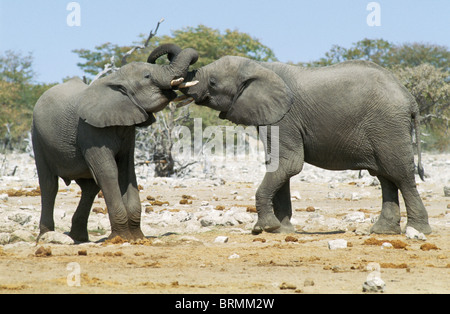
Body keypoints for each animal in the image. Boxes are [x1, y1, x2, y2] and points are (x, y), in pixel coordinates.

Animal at [32, 43, 198, 242]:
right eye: (147, 76)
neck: (115, 80)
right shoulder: (89, 130)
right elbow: (108, 171)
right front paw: (122, 238)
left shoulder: (127, 128)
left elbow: (127, 171)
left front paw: (137, 238)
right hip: (37, 136)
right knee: (49, 184)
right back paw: (46, 236)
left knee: (90, 188)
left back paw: (79, 238)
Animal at [179, 55, 432, 234]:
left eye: (213, 82)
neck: (259, 67)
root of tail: (410, 99)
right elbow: (277, 165)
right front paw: (282, 230)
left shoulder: (285, 118)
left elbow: (289, 164)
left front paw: (264, 228)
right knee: (385, 176)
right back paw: (382, 232)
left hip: (388, 126)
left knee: (400, 175)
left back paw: (417, 231)